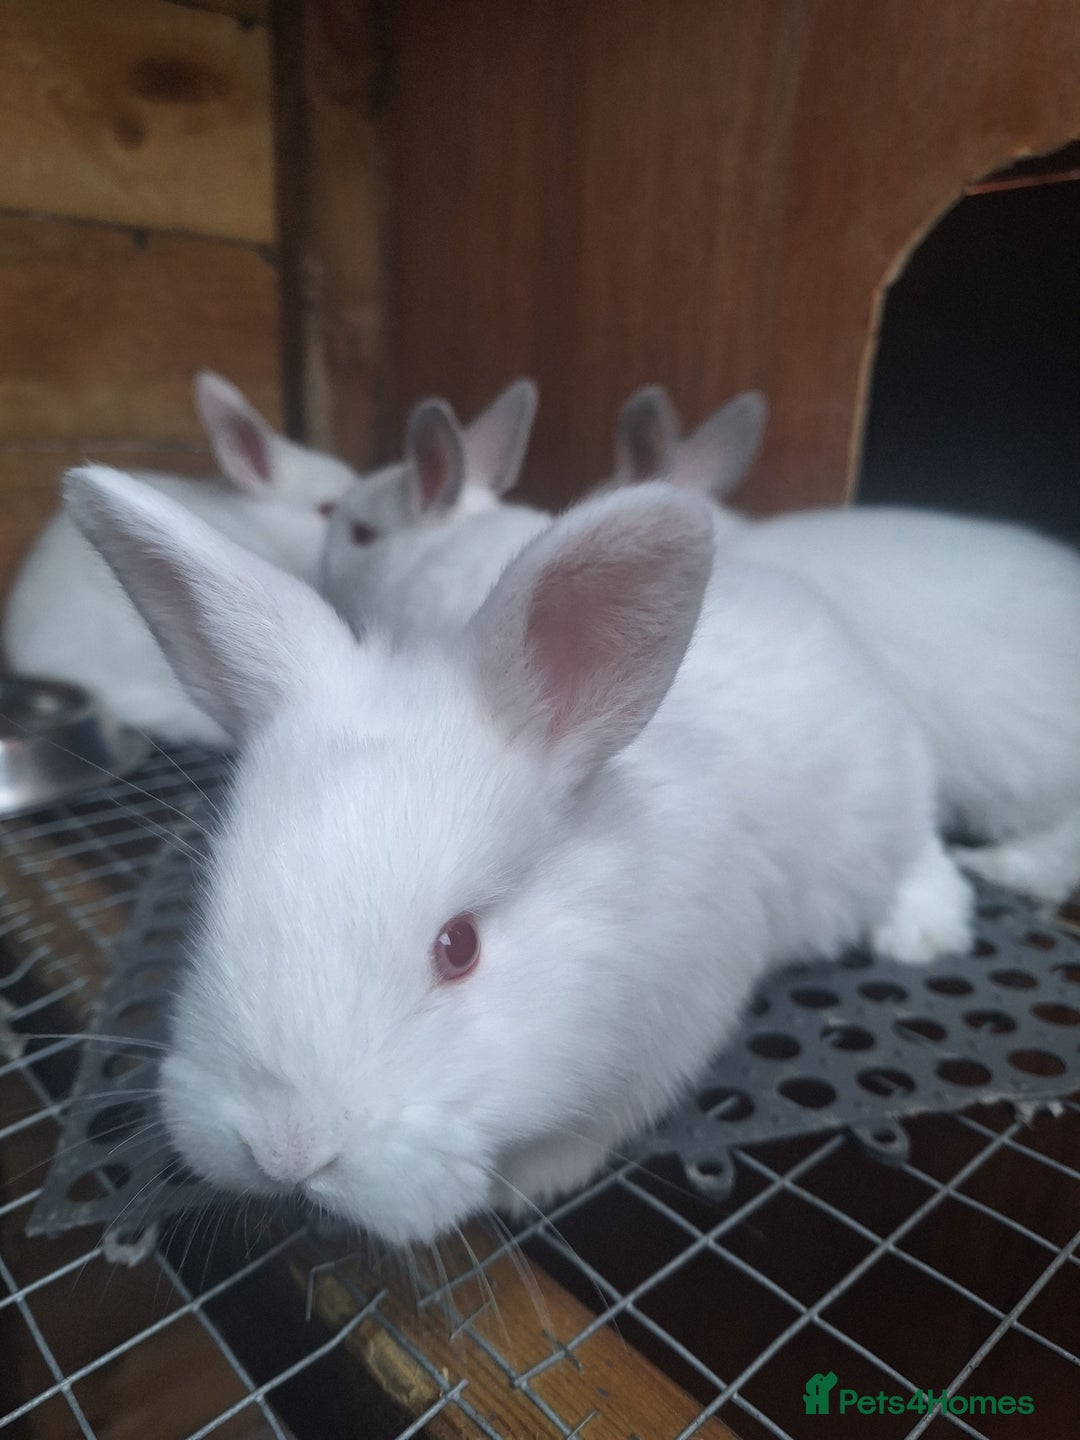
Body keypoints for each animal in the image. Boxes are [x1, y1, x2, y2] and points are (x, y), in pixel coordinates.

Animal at [64, 461, 972, 1246]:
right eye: (215, 903)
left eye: (458, 946)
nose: (285, 1152)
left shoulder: (673, 1027)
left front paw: (530, 1183)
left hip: (884, 807)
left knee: (924, 849)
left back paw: (924, 932)